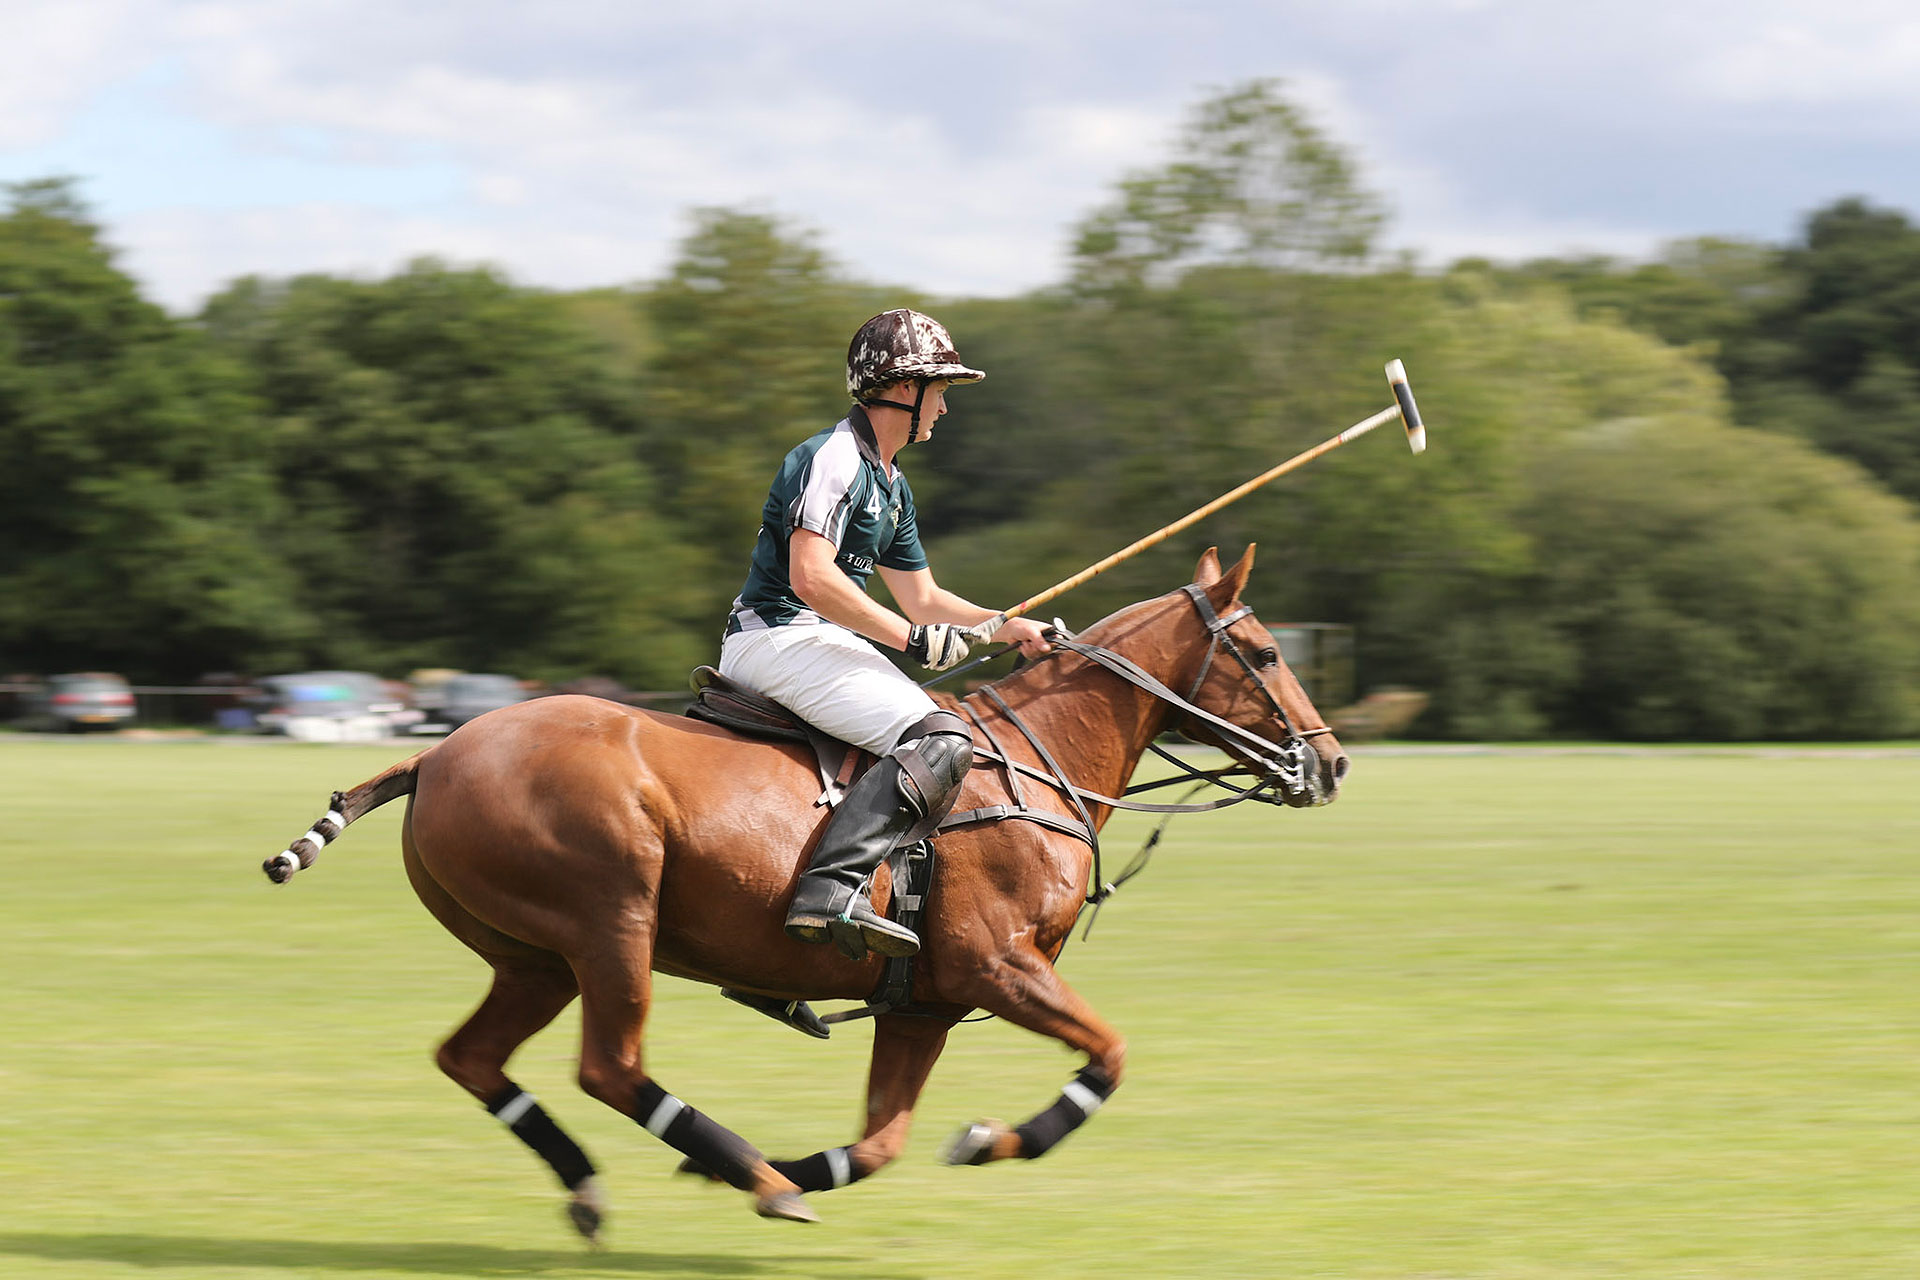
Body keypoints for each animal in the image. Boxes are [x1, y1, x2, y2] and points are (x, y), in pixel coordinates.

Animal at [263, 545, 1344, 1235]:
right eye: (1269, 653)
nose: (1330, 763)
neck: (1041, 762)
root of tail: (434, 754)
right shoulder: (995, 965)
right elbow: (1110, 1056)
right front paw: (988, 1137)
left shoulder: (925, 1003)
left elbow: (881, 1142)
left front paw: (823, 1162)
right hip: (611, 918)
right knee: (608, 1066)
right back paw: (743, 1168)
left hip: (535, 954)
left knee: (473, 1056)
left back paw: (618, 1185)